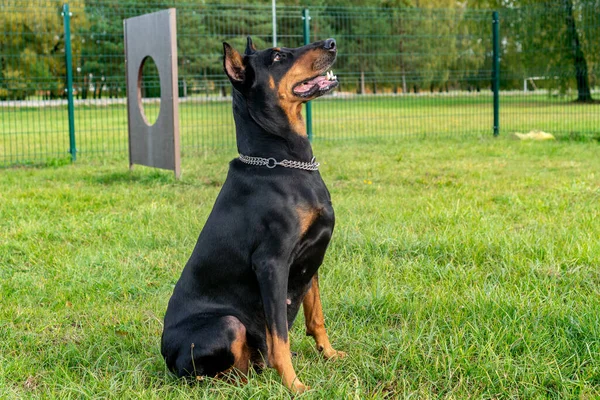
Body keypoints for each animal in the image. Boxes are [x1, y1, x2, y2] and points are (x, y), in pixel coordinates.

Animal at [162, 36, 344, 392]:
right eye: (276, 57)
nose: (331, 42)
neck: (284, 163)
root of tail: (165, 356)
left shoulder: (312, 257)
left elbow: (316, 317)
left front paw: (329, 354)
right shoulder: (271, 263)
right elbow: (280, 336)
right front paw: (294, 385)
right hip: (228, 324)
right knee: (207, 373)